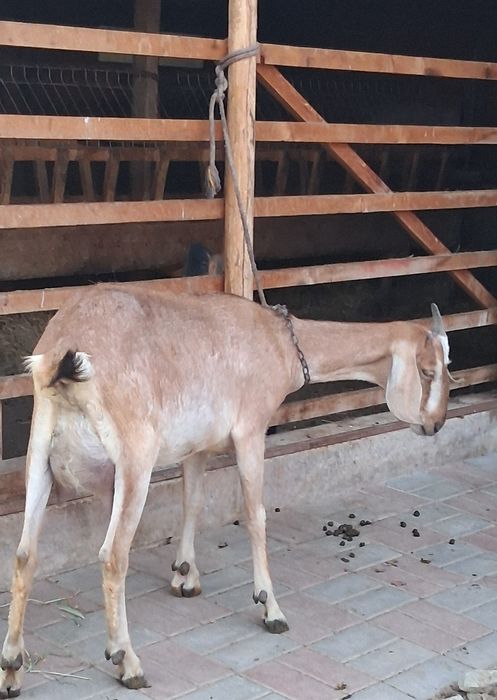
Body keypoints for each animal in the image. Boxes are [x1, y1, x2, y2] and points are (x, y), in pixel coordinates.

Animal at [0, 286, 450, 695]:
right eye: (428, 372)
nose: (437, 425)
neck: (277, 342)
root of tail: (60, 355)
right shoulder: (250, 429)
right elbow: (254, 515)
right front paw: (271, 607)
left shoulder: (197, 446)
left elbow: (193, 502)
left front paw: (185, 576)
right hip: (134, 458)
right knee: (113, 556)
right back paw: (127, 662)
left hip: (39, 455)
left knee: (24, 556)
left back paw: (12, 669)